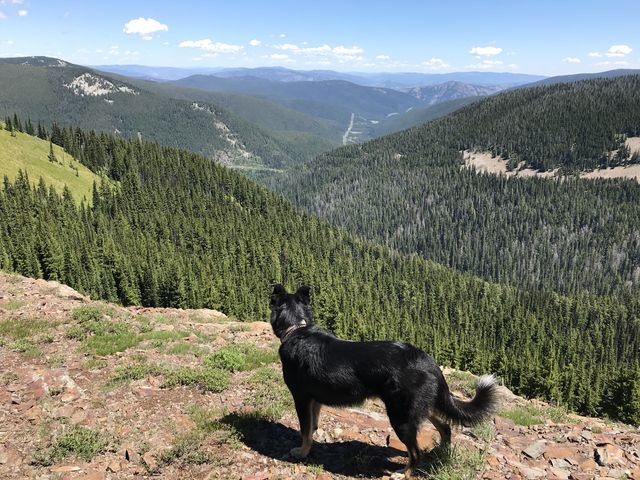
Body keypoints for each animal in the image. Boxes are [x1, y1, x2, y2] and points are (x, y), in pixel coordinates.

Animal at [270, 284, 500, 476]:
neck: (297, 328)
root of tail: (428, 361)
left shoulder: (301, 398)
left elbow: (305, 430)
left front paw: (301, 453)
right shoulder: (315, 399)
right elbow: (312, 427)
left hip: (401, 416)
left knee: (416, 452)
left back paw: (403, 473)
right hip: (422, 406)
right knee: (446, 428)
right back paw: (440, 453)